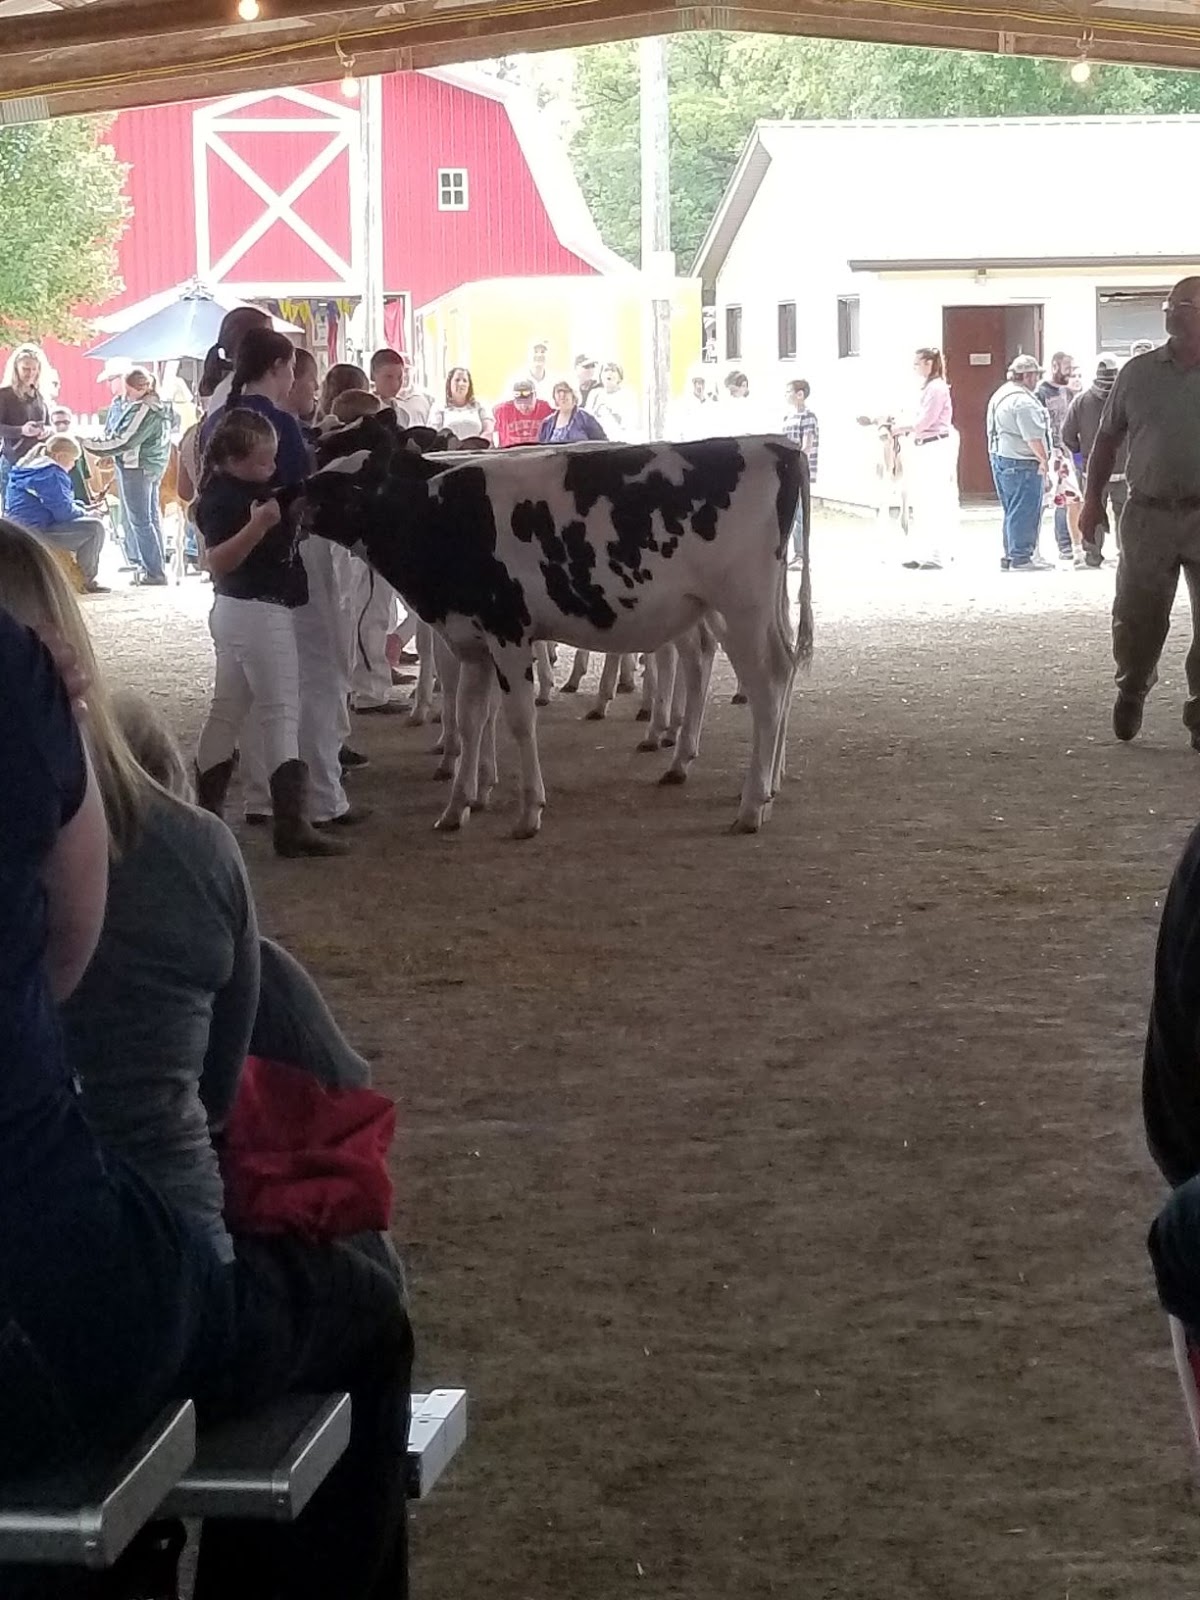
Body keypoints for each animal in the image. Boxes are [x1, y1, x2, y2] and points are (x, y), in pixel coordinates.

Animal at [306, 413, 812, 838]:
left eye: (346, 484)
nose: (293, 497)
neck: (443, 514)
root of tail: (779, 446)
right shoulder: (471, 640)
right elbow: (472, 718)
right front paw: (460, 804)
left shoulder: (507, 632)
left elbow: (517, 718)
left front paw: (527, 810)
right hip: (726, 609)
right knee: (767, 667)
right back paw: (750, 784)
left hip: (742, 607)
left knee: (766, 686)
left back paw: (750, 804)